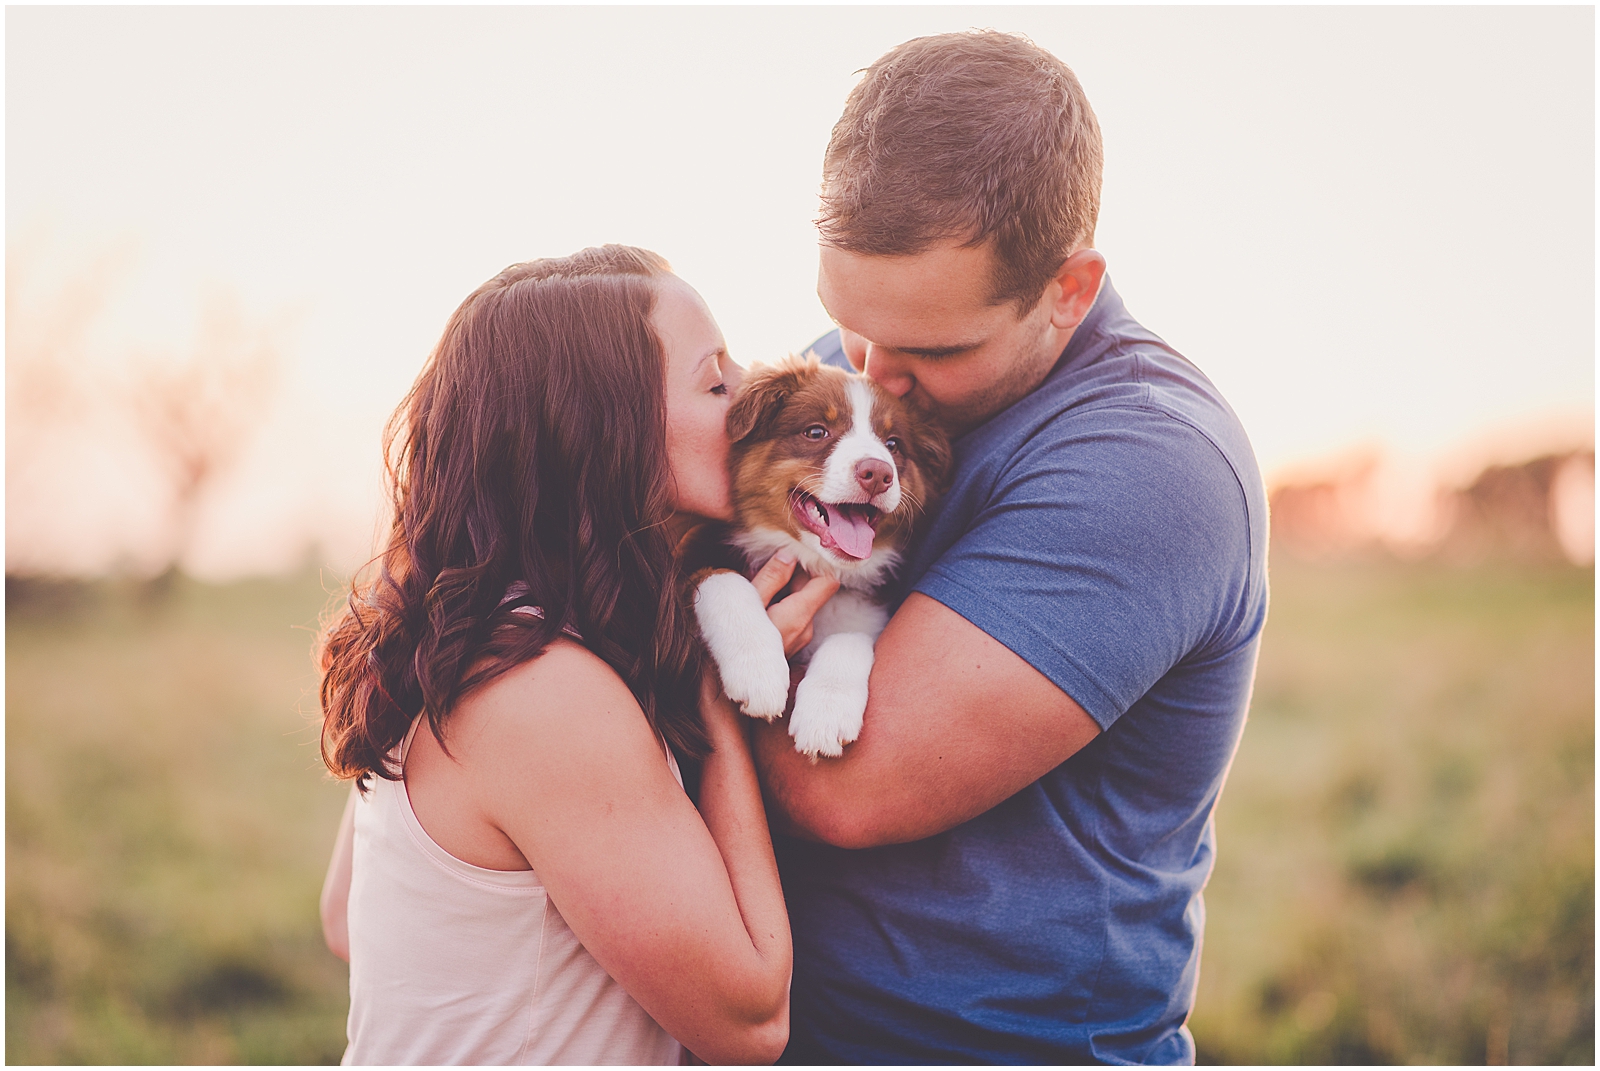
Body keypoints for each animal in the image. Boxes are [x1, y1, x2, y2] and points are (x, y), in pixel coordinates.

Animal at [688, 355, 947, 755]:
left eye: (893, 444)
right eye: (815, 432)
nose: (878, 473)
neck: (815, 564)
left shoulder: (865, 613)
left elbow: (849, 639)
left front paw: (826, 713)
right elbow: (723, 582)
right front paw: (758, 671)